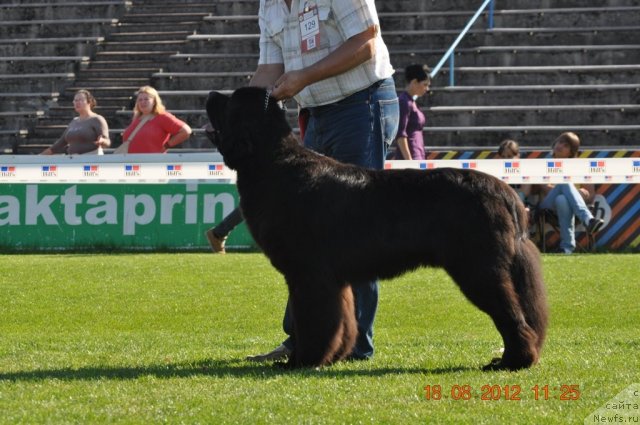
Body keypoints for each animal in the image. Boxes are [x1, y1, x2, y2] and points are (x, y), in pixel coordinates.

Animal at [208, 86, 548, 368]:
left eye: (231, 101)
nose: (211, 94)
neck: (272, 161)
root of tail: (504, 192)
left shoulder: (308, 274)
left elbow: (314, 322)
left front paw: (303, 360)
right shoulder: (333, 279)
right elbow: (342, 321)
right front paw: (334, 356)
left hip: (479, 269)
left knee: (512, 315)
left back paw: (512, 361)